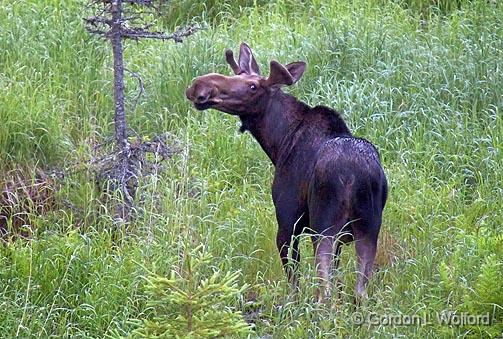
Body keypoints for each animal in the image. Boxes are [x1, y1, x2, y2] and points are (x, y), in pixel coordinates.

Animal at [187, 43, 388, 302]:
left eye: (253, 86)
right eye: (236, 75)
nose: (199, 86)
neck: (278, 143)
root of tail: (353, 177)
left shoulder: (288, 221)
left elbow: (294, 278)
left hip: (324, 226)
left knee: (325, 291)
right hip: (369, 228)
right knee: (360, 293)